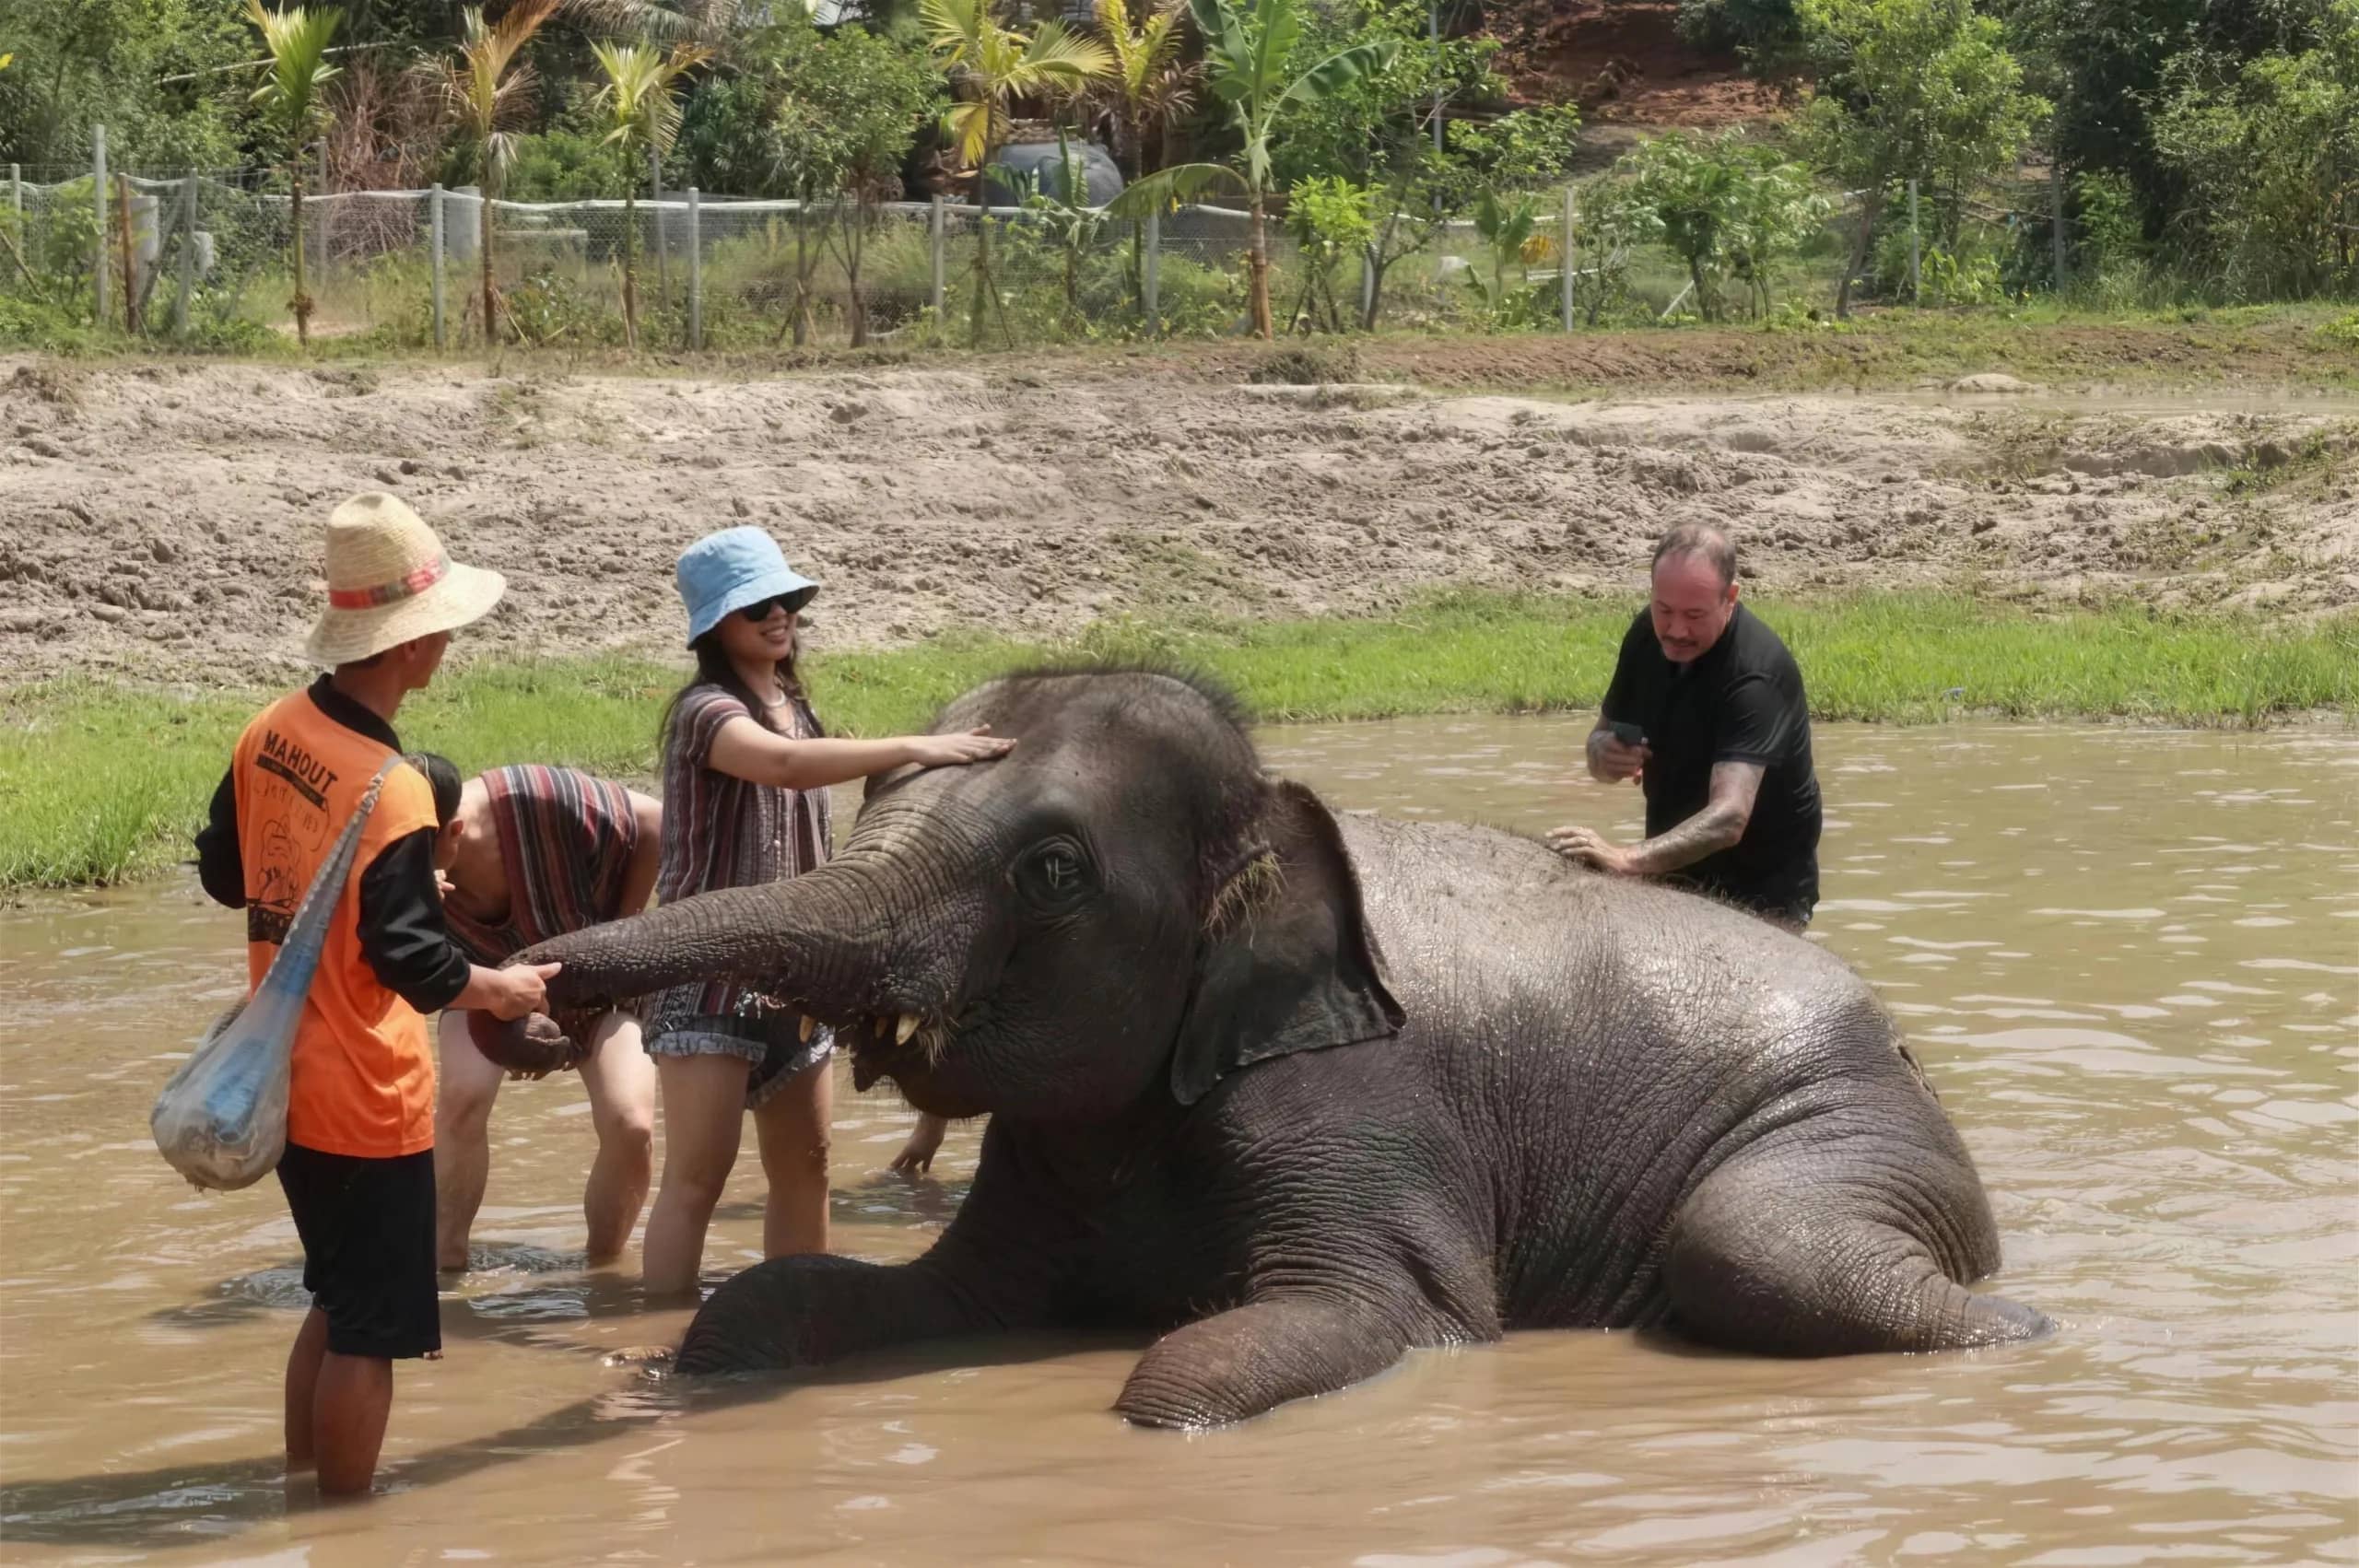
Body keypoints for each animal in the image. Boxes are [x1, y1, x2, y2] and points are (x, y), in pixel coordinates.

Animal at [509, 668, 2050, 1428]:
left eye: (1051, 872)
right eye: (870, 797)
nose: (528, 986)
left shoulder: (1354, 1102)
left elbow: (1322, 1332)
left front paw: (1157, 1404)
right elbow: (860, 1298)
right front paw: (663, 1369)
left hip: (1850, 1124)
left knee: (1758, 1245)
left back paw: (2024, 1337)